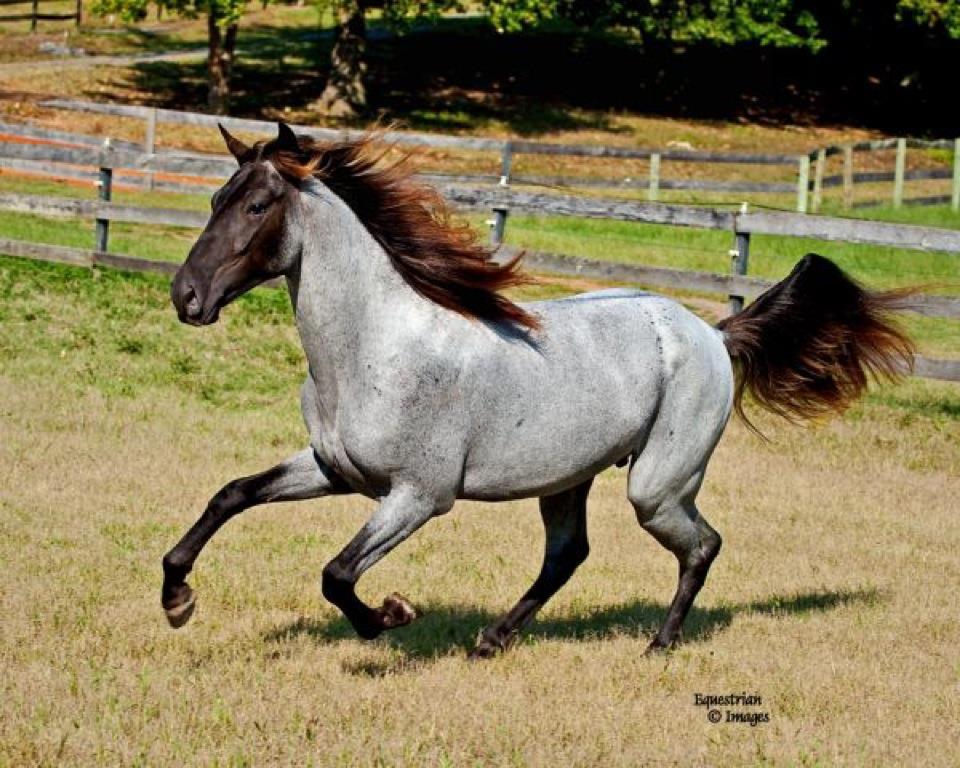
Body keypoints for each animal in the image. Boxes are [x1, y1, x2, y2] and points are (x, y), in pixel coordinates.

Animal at [162, 122, 913, 658]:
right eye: (214, 200)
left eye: (258, 204)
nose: (186, 296)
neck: (375, 347)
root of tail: (712, 332)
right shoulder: (334, 470)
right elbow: (231, 495)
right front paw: (177, 598)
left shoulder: (419, 495)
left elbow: (338, 575)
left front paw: (392, 616)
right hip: (569, 477)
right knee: (567, 555)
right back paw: (493, 639)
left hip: (658, 486)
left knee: (701, 545)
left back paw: (659, 645)